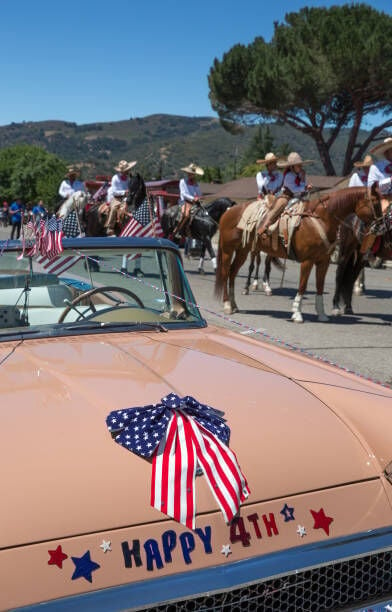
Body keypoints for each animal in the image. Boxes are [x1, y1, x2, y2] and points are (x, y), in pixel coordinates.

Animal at [216, 186, 382, 322]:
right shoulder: (307, 261)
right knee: (225, 273)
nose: (380, 226)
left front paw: (322, 314)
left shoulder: (323, 262)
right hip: (228, 250)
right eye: (375, 202)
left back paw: (234, 305)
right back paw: (227, 305)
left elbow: (320, 286)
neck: (321, 219)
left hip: (242, 250)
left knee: (232, 273)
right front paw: (297, 313)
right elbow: (302, 286)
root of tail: (228, 211)